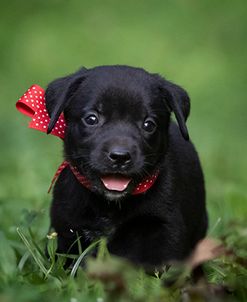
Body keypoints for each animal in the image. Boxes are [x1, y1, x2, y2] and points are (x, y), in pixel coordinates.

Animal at [45, 64, 207, 266]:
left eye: (148, 124)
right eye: (91, 119)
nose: (120, 156)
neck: (110, 205)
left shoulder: (165, 227)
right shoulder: (66, 227)